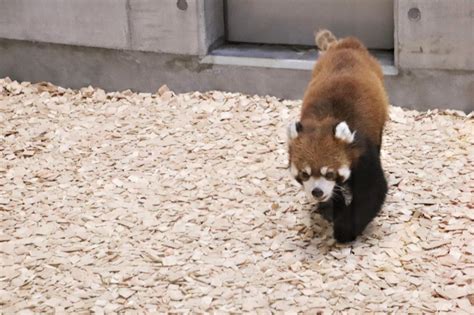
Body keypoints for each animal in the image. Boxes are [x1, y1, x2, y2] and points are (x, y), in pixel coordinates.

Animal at [288, 29, 388, 243]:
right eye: (305, 174)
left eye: (330, 173)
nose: (317, 192)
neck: (325, 121)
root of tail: (346, 44)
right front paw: (331, 209)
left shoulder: (363, 151)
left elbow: (372, 190)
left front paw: (345, 229)